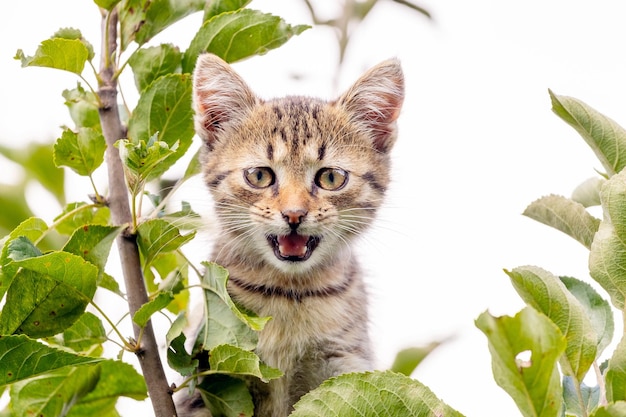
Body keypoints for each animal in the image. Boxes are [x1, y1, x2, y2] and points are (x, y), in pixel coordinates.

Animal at [177, 54, 404, 416]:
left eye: (330, 178)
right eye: (259, 175)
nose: (294, 214)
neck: (289, 294)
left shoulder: (343, 366)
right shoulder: (209, 374)